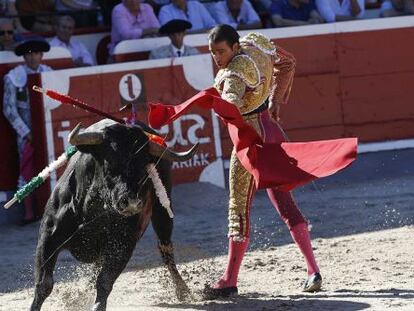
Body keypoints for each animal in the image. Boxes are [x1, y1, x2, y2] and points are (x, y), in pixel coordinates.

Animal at [30, 120, 199, 311]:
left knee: (165, 249)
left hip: (162, 213)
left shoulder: (123, 245)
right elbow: (44, 284)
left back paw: (182, 290)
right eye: (110, 161)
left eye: (144, 166)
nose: (131, 202)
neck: (93, 209)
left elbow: (104, 281)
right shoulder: (48, 236)